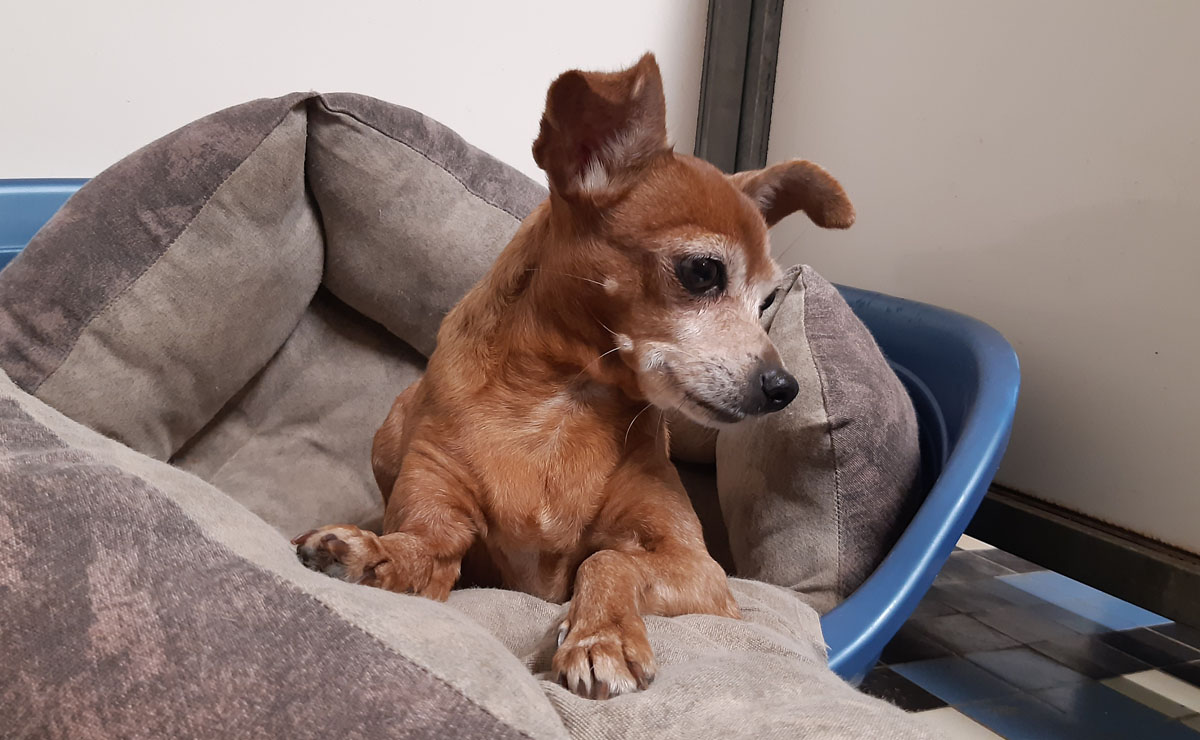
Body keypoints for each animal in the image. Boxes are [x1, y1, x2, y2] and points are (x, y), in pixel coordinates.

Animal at [292, 53, 854, 699]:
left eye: (766, 303)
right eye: (703, 271)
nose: (784, 388)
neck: (562, 405)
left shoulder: (702, 574)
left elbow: (607, 559)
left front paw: (601, 635)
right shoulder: (441, 520)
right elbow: (420, 545)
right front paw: (369, 554)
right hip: (392, 428)